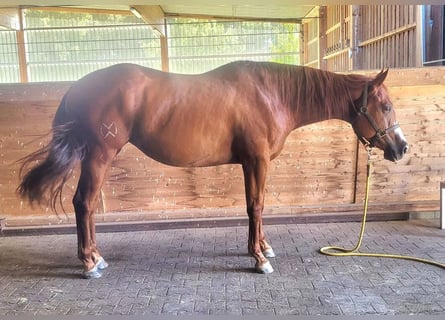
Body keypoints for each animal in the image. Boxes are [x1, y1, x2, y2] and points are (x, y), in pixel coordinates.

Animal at [17, 62, 408, 278]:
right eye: (386, 106)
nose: (401, 148)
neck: (271, 95)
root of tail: (81, 86)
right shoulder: (257, 161)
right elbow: (256, 206)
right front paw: (259, 260)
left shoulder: (252, 163)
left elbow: (255, 207)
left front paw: (261, 249)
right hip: (99, 155)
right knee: (83, 203)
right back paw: (88, 263)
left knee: (87, 207)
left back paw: (97, 257)